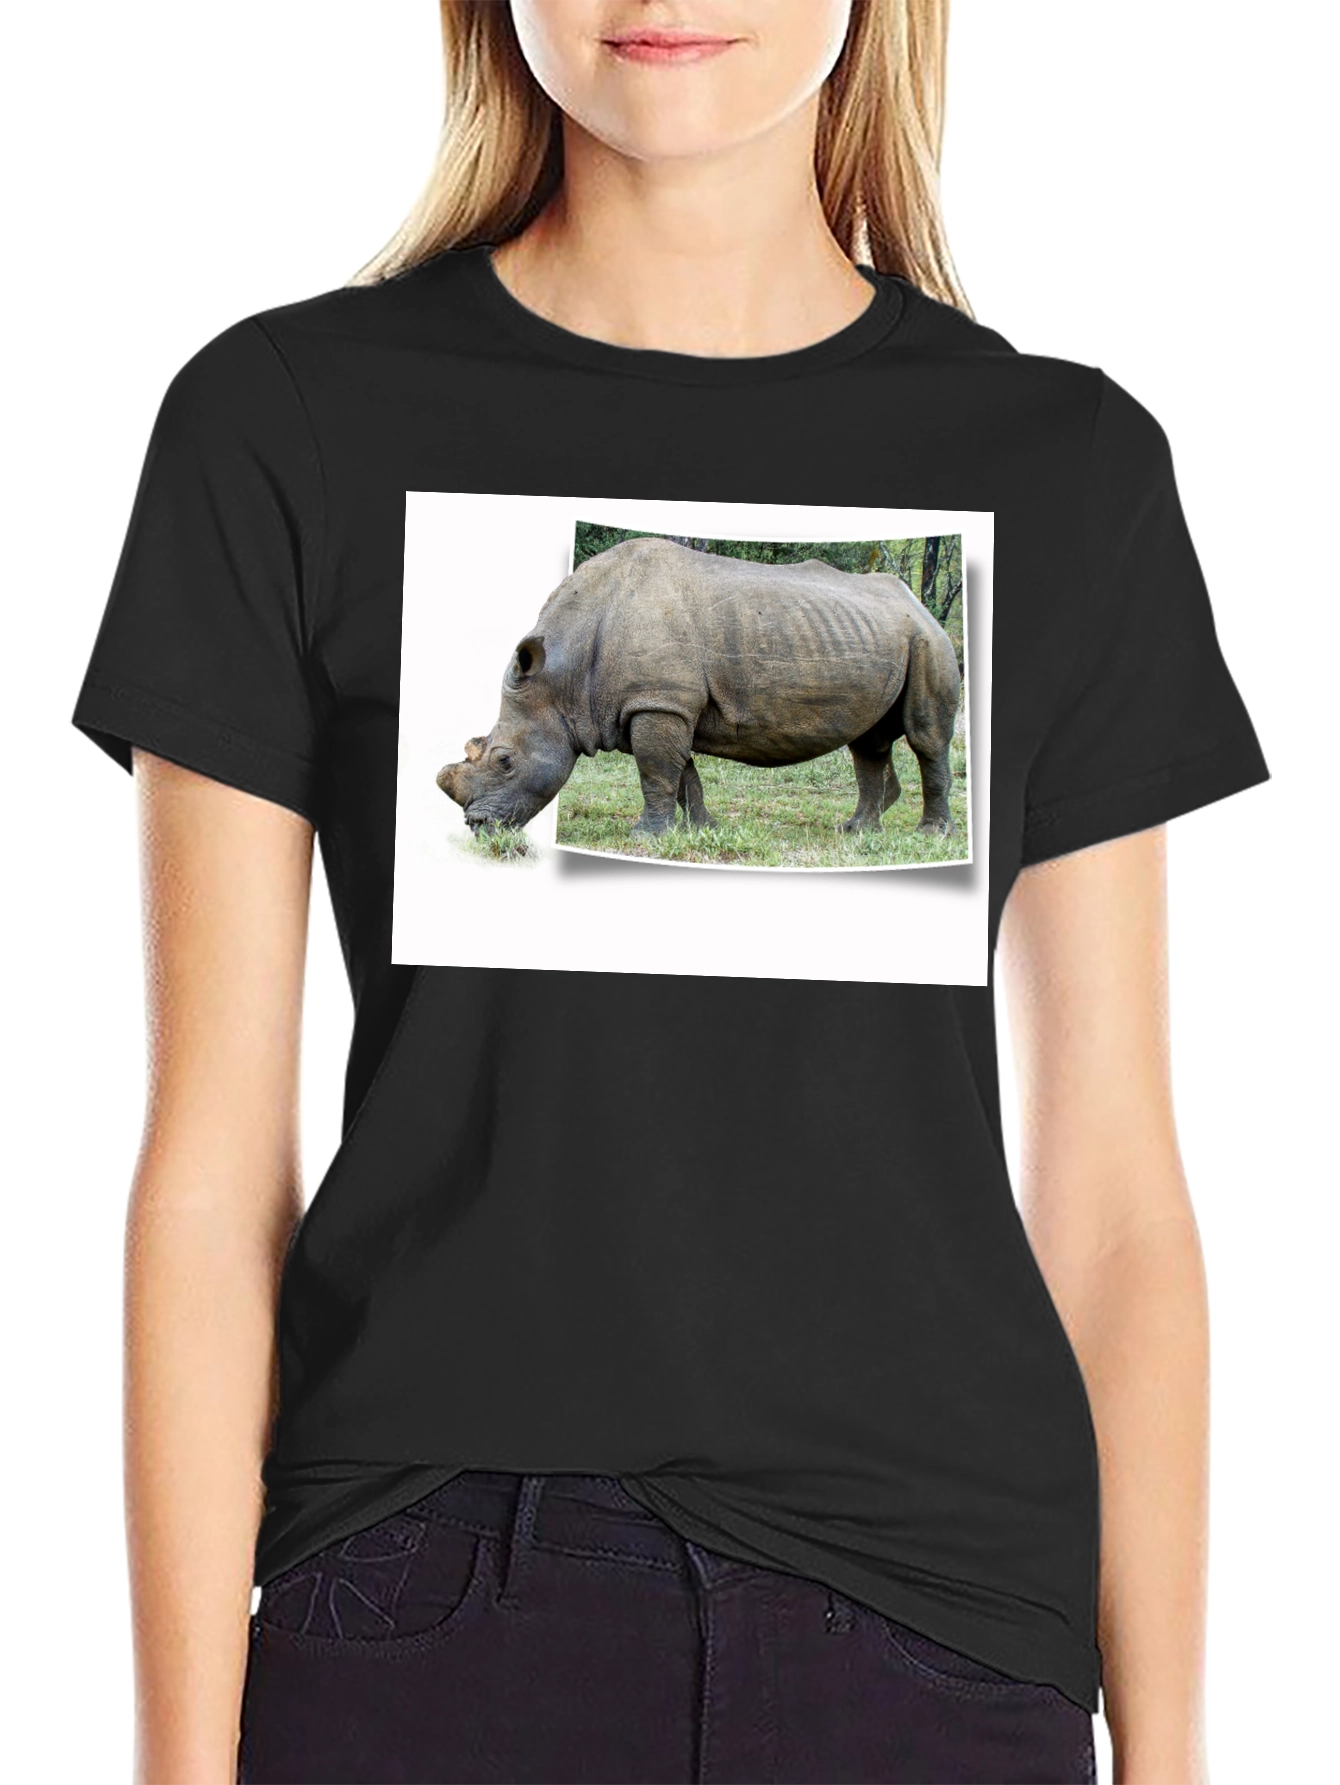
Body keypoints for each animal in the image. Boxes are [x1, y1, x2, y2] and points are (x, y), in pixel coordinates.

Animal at [436, 536, 961, 840]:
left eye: (505, 762)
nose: (477, 827)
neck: (563, 675)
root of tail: (917, 602)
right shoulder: (664, 703)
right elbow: (681, 772)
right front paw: (700, 829)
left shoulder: (657, 702)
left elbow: (656, 771)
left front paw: (645, 839)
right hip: (885, 635)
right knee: (868, 743)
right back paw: (857, 832)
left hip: (929, 640)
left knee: (925, 737)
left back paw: (930, 836)